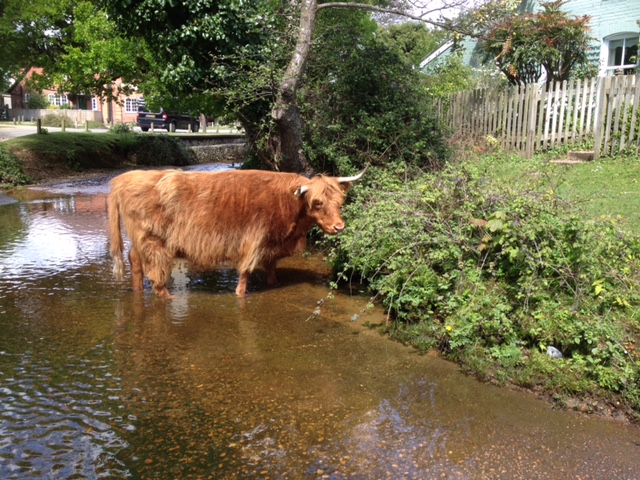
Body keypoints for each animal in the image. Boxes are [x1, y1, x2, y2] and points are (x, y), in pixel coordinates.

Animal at [107, 168, 362, 296]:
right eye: (317, 202)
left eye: (340, 201)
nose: (339, 226)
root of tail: (122, 179)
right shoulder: (255, 240)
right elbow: (246, 272)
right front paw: (240, 294)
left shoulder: (271, 243)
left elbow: (271, 265)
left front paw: (273, 283)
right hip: (154, 242)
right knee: (155, 276)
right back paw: (167, 297)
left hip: (140, 241)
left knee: (134, 261)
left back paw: (138, 291)